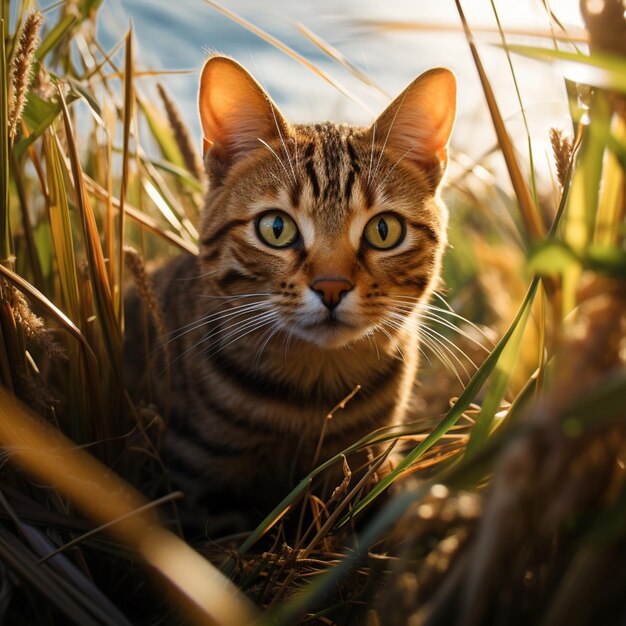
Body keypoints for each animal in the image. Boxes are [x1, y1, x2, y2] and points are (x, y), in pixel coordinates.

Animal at [123, 54, 454, 532]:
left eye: (384, 230)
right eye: (276, 228)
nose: (332, 287)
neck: (311, 396)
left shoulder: (366, 467)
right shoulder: (199, 486)